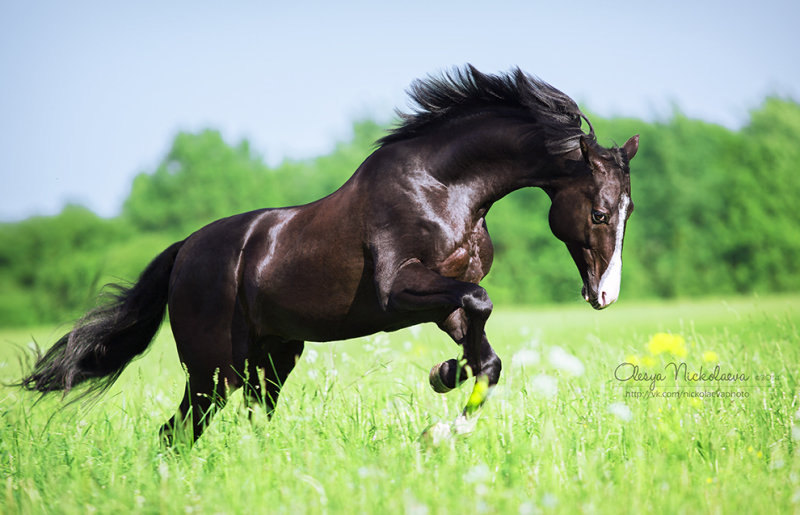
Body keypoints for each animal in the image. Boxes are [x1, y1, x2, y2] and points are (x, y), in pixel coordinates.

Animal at [18, 65, 636, 448]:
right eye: (600, 213)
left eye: (628, 211)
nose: (605, 295)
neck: (443, 188)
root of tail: (184, 251)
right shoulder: (397, 293)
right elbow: (479, 303)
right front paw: (441, 403)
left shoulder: (444, 301)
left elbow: (486, 355)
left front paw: (443, 395)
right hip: (213, 368)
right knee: (176, 431)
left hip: (272, 359)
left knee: (244, 420)